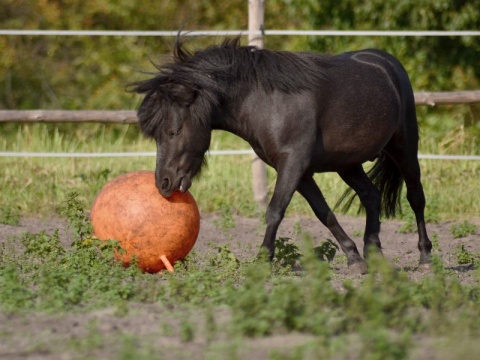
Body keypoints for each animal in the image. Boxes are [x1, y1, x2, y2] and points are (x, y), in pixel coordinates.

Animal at [130, 38, 432, 272]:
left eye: (174, 131)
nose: (163, 183)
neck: (266, 101)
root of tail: (387, 62)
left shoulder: (293, 164)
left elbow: (275, 211)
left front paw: (263, 260)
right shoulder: (302, 172)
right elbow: (324, 213)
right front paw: (354, 259)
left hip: (404, 147)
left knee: (416, 198)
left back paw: (425, 256)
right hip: (348, 163)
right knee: (371, 195)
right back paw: (374, 253)